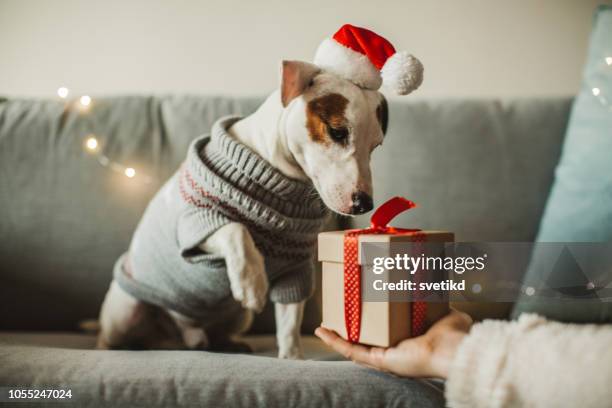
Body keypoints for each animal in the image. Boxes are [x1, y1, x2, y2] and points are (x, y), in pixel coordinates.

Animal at [97, 24, 420, 360]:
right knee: (114, 336)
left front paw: (291, 358)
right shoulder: (194, 224)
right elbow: (235, 229)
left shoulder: (296, 267)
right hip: (125, 311)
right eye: (337, 132)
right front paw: (252, 283)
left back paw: (226, 343)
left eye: (376, 146)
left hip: (238, 317)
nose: (364, 204)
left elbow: (290, 322)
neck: (277, 174)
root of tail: (180, 336)